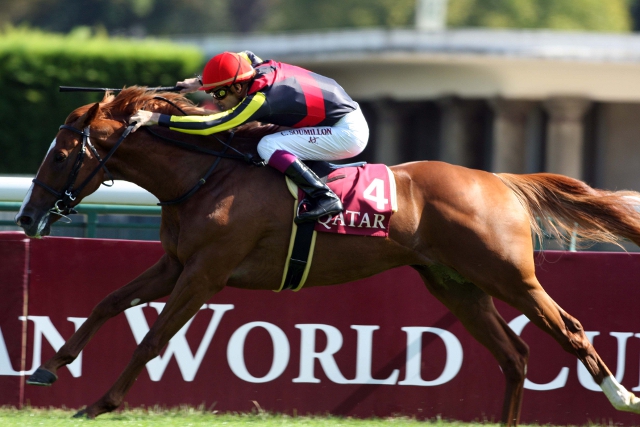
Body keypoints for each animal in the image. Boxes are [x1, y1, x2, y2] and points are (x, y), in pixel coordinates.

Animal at [13, 88, 640, 424]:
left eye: (61, 155)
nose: (25, 218)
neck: (205, 176)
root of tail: (500, 182)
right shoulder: (174, 264)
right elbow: (107, 302)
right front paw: (47, 367)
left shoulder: (206, 273)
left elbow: (153, 338)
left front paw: (100, 403)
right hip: (456, 285)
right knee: (514, 355)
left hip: (509, 276)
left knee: (570, 329)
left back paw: (622, 395)